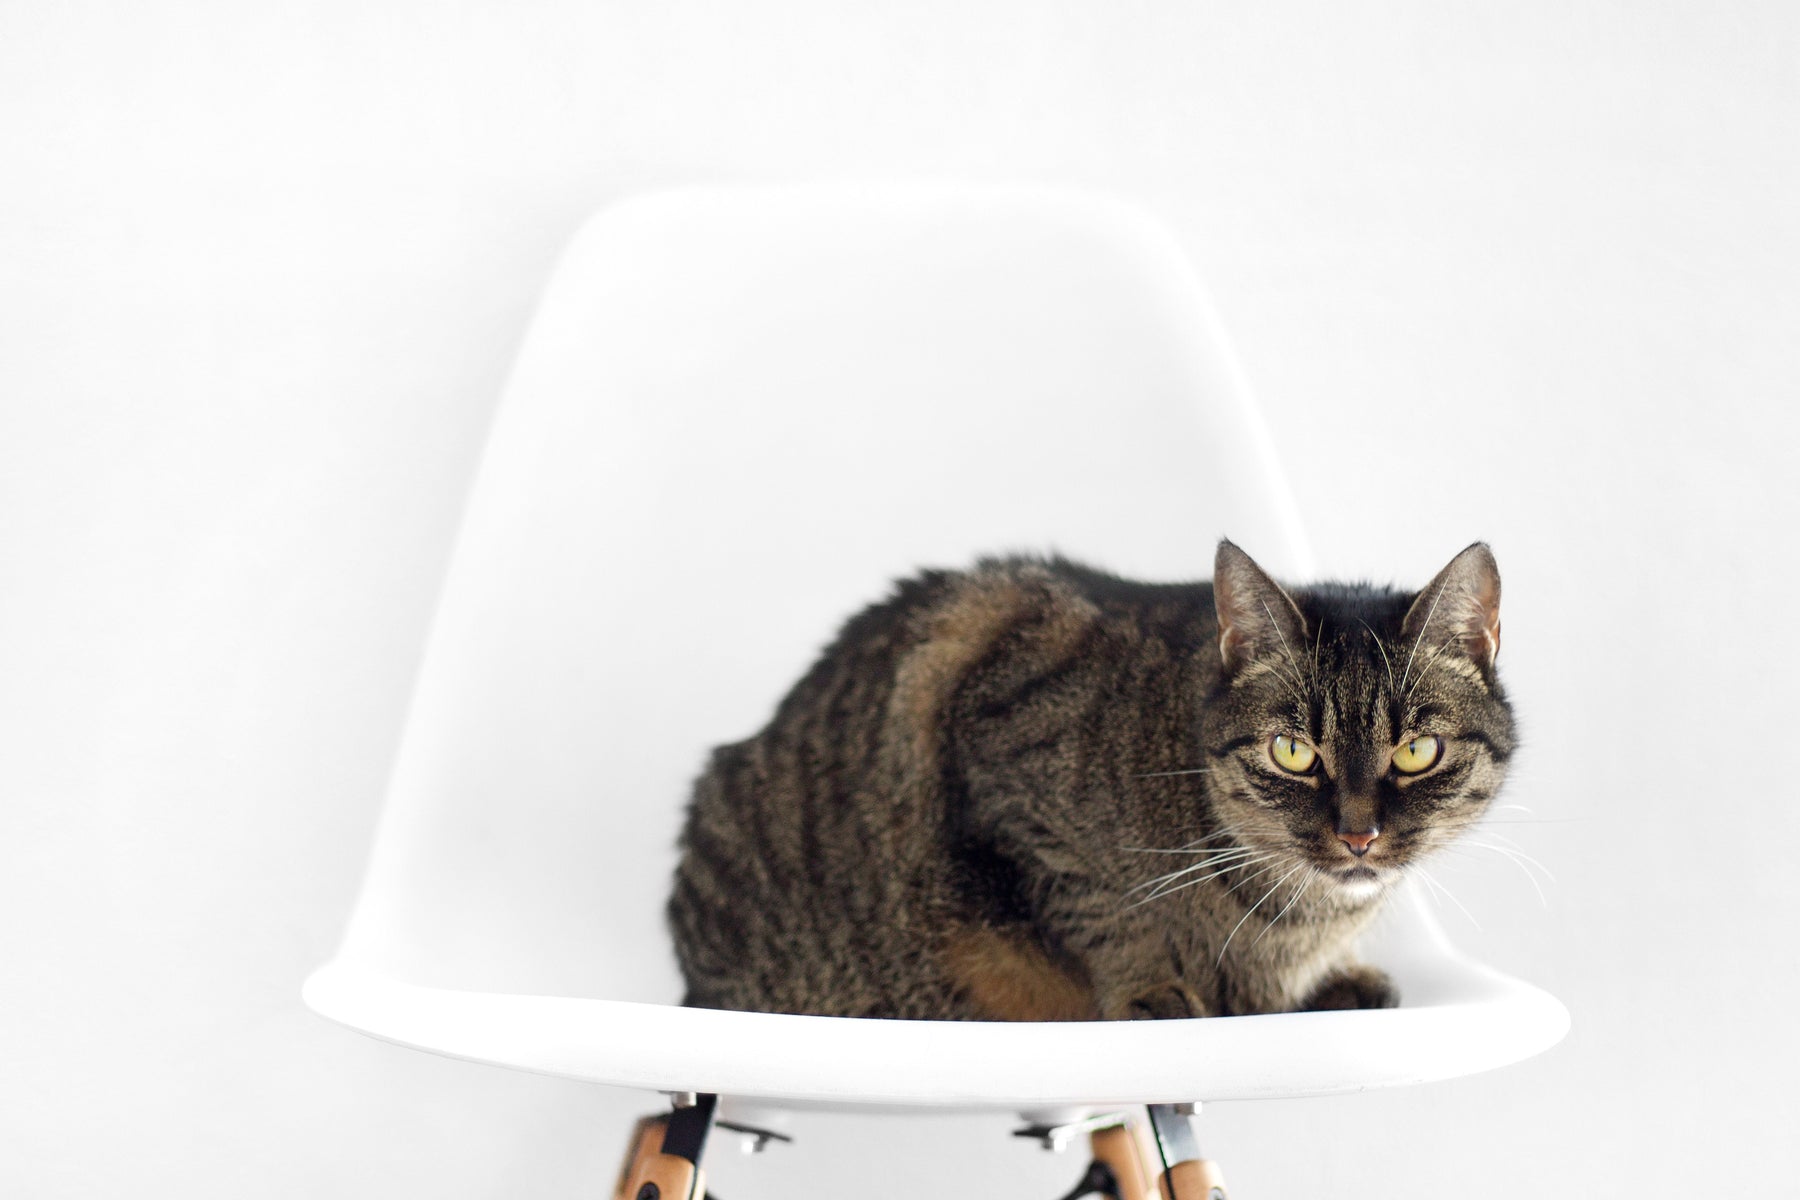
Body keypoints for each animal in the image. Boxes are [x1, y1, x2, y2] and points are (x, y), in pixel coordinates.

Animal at [669, 543, 1512, 1021]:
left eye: (1417, 751)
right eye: (1293, 752)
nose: (1358, 833)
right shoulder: (1013, 766)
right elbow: (1103, 907)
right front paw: (1148, 985)